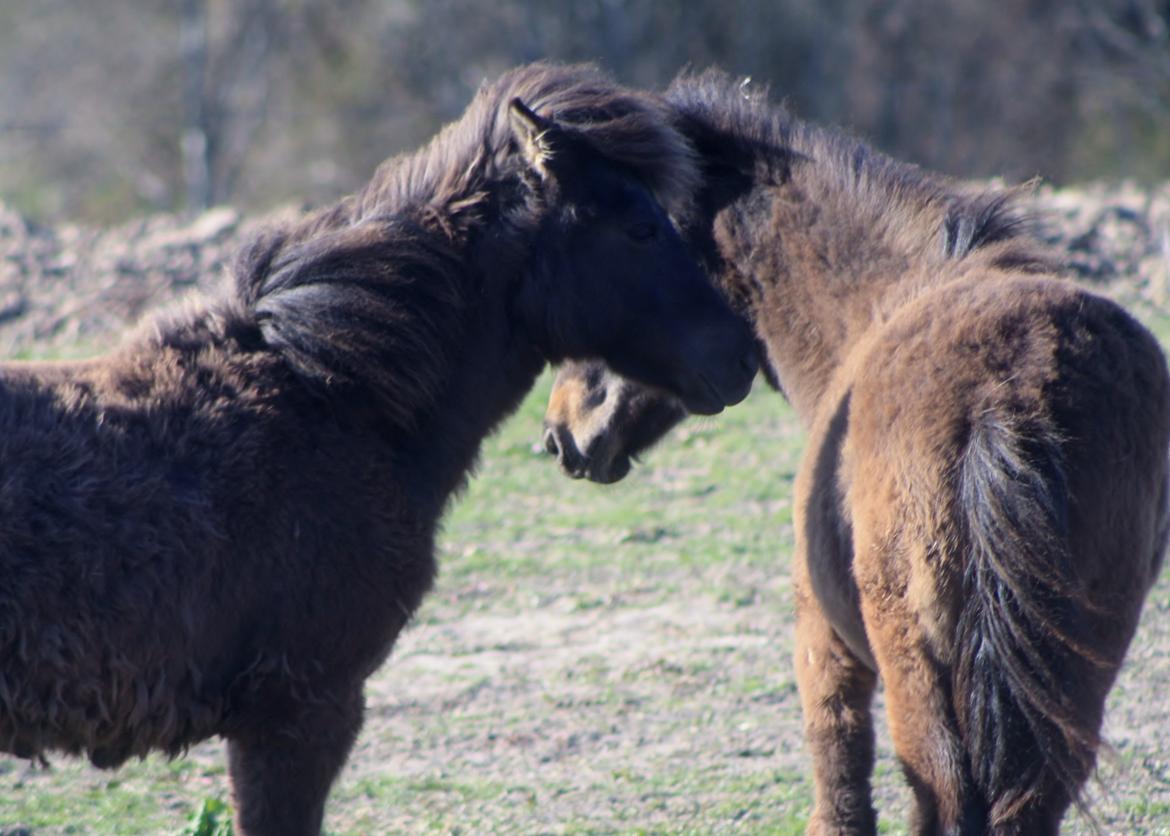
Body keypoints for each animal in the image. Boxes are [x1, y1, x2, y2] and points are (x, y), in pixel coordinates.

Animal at [545, 71, 1170, 836]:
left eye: (639, 250)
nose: (561, 431)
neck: (870, 307)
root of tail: (1008, 390)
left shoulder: (822, 638)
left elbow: (838, 769)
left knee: (944, 791)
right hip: (1076, 667)